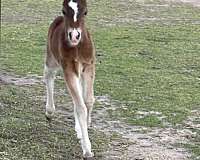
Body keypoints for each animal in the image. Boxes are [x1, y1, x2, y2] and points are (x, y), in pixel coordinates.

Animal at [44, 0, 95, 158]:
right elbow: (81, 107)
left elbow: (88, 101)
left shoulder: (88, 66)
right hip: (52, 59)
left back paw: (78, 129)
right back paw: (49, 112)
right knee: (48, 76)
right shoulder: (68, 69)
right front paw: (87, 149)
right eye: (64, 10)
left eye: (85, 11)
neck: (77, 48)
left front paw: (86, 126)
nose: (74, 35)